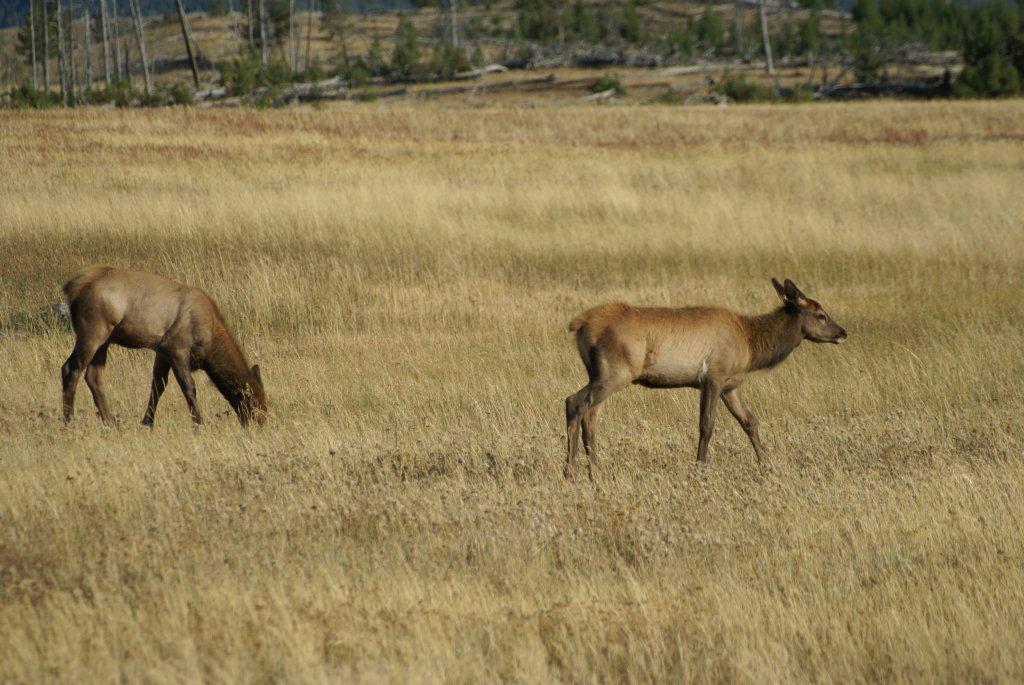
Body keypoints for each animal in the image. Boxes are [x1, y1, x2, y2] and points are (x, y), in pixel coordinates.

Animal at [59, 264, 268, 423]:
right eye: (256, 405)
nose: (260, 424)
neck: (209, 344)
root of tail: (71, 287)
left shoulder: (162, 351)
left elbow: (157, 386)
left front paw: (147, 422)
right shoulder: (177, 348)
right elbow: (189, 387)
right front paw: (199, 423)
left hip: (106, 339)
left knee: (94, 376)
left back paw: (110, 422)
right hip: (92, 330)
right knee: (70, 368)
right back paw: (69, 421)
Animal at [565, 276, 843, 475]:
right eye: (821, 315)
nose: (842, 332)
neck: (751, 346)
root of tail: (579, 324)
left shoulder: (730, 385)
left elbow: (749, 421)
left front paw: (767, 464)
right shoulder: (713, 377)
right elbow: (706, 425)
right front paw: (700, 467)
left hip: (599, 373)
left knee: (587, 412)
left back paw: (590, 471)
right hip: (617, 371)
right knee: (575, 402)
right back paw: (571, 471)